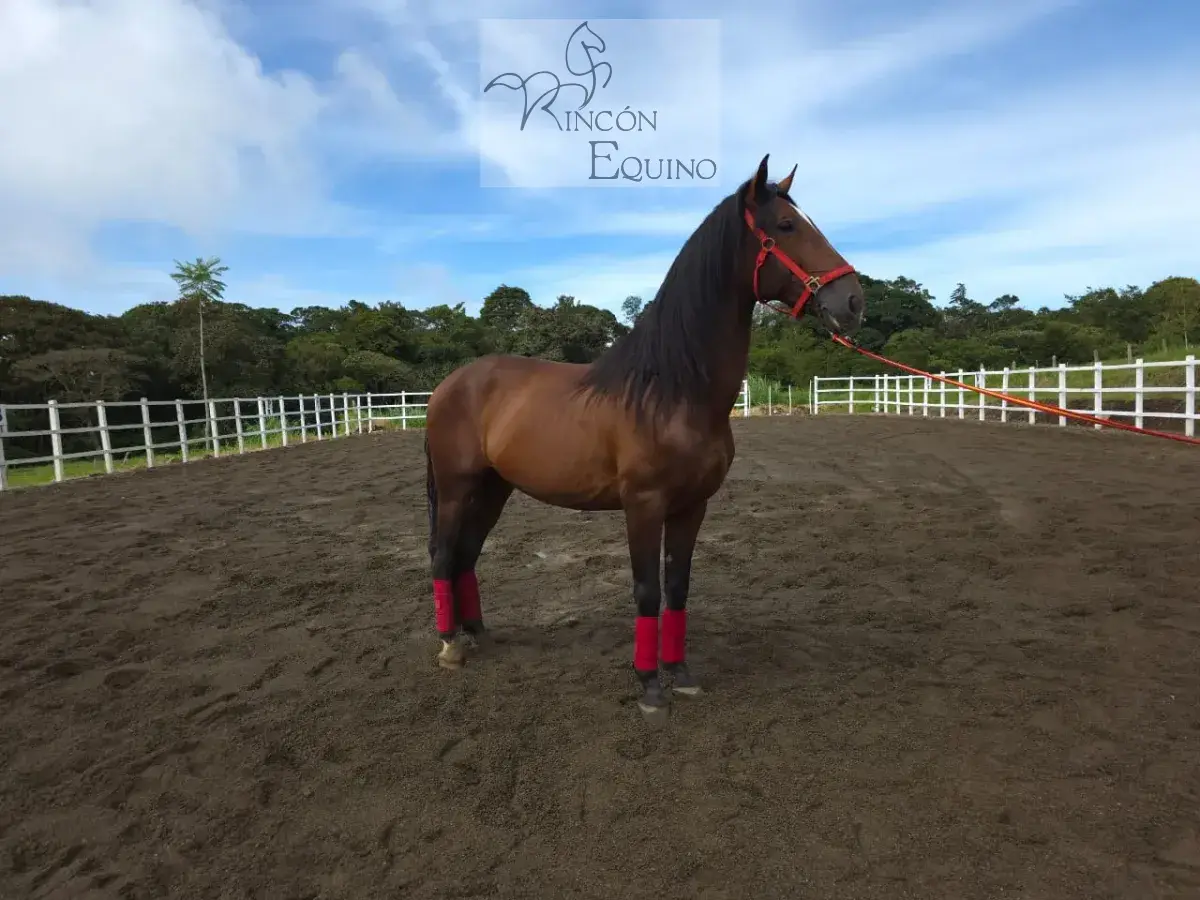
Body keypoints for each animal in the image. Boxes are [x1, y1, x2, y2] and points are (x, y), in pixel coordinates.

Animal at [422, 154, 865, 723]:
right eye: (786, 226)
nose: (853, 301)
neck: (673, 391)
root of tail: (448, 385)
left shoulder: (692, 506)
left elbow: (677, 588)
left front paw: (681, 674)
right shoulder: (643, 504)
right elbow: (647, 590)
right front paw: (649, 685)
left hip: (495, 488)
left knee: (467, 556)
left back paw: (478, 635)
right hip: (457, 487)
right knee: (443, 555)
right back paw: (450, 646)